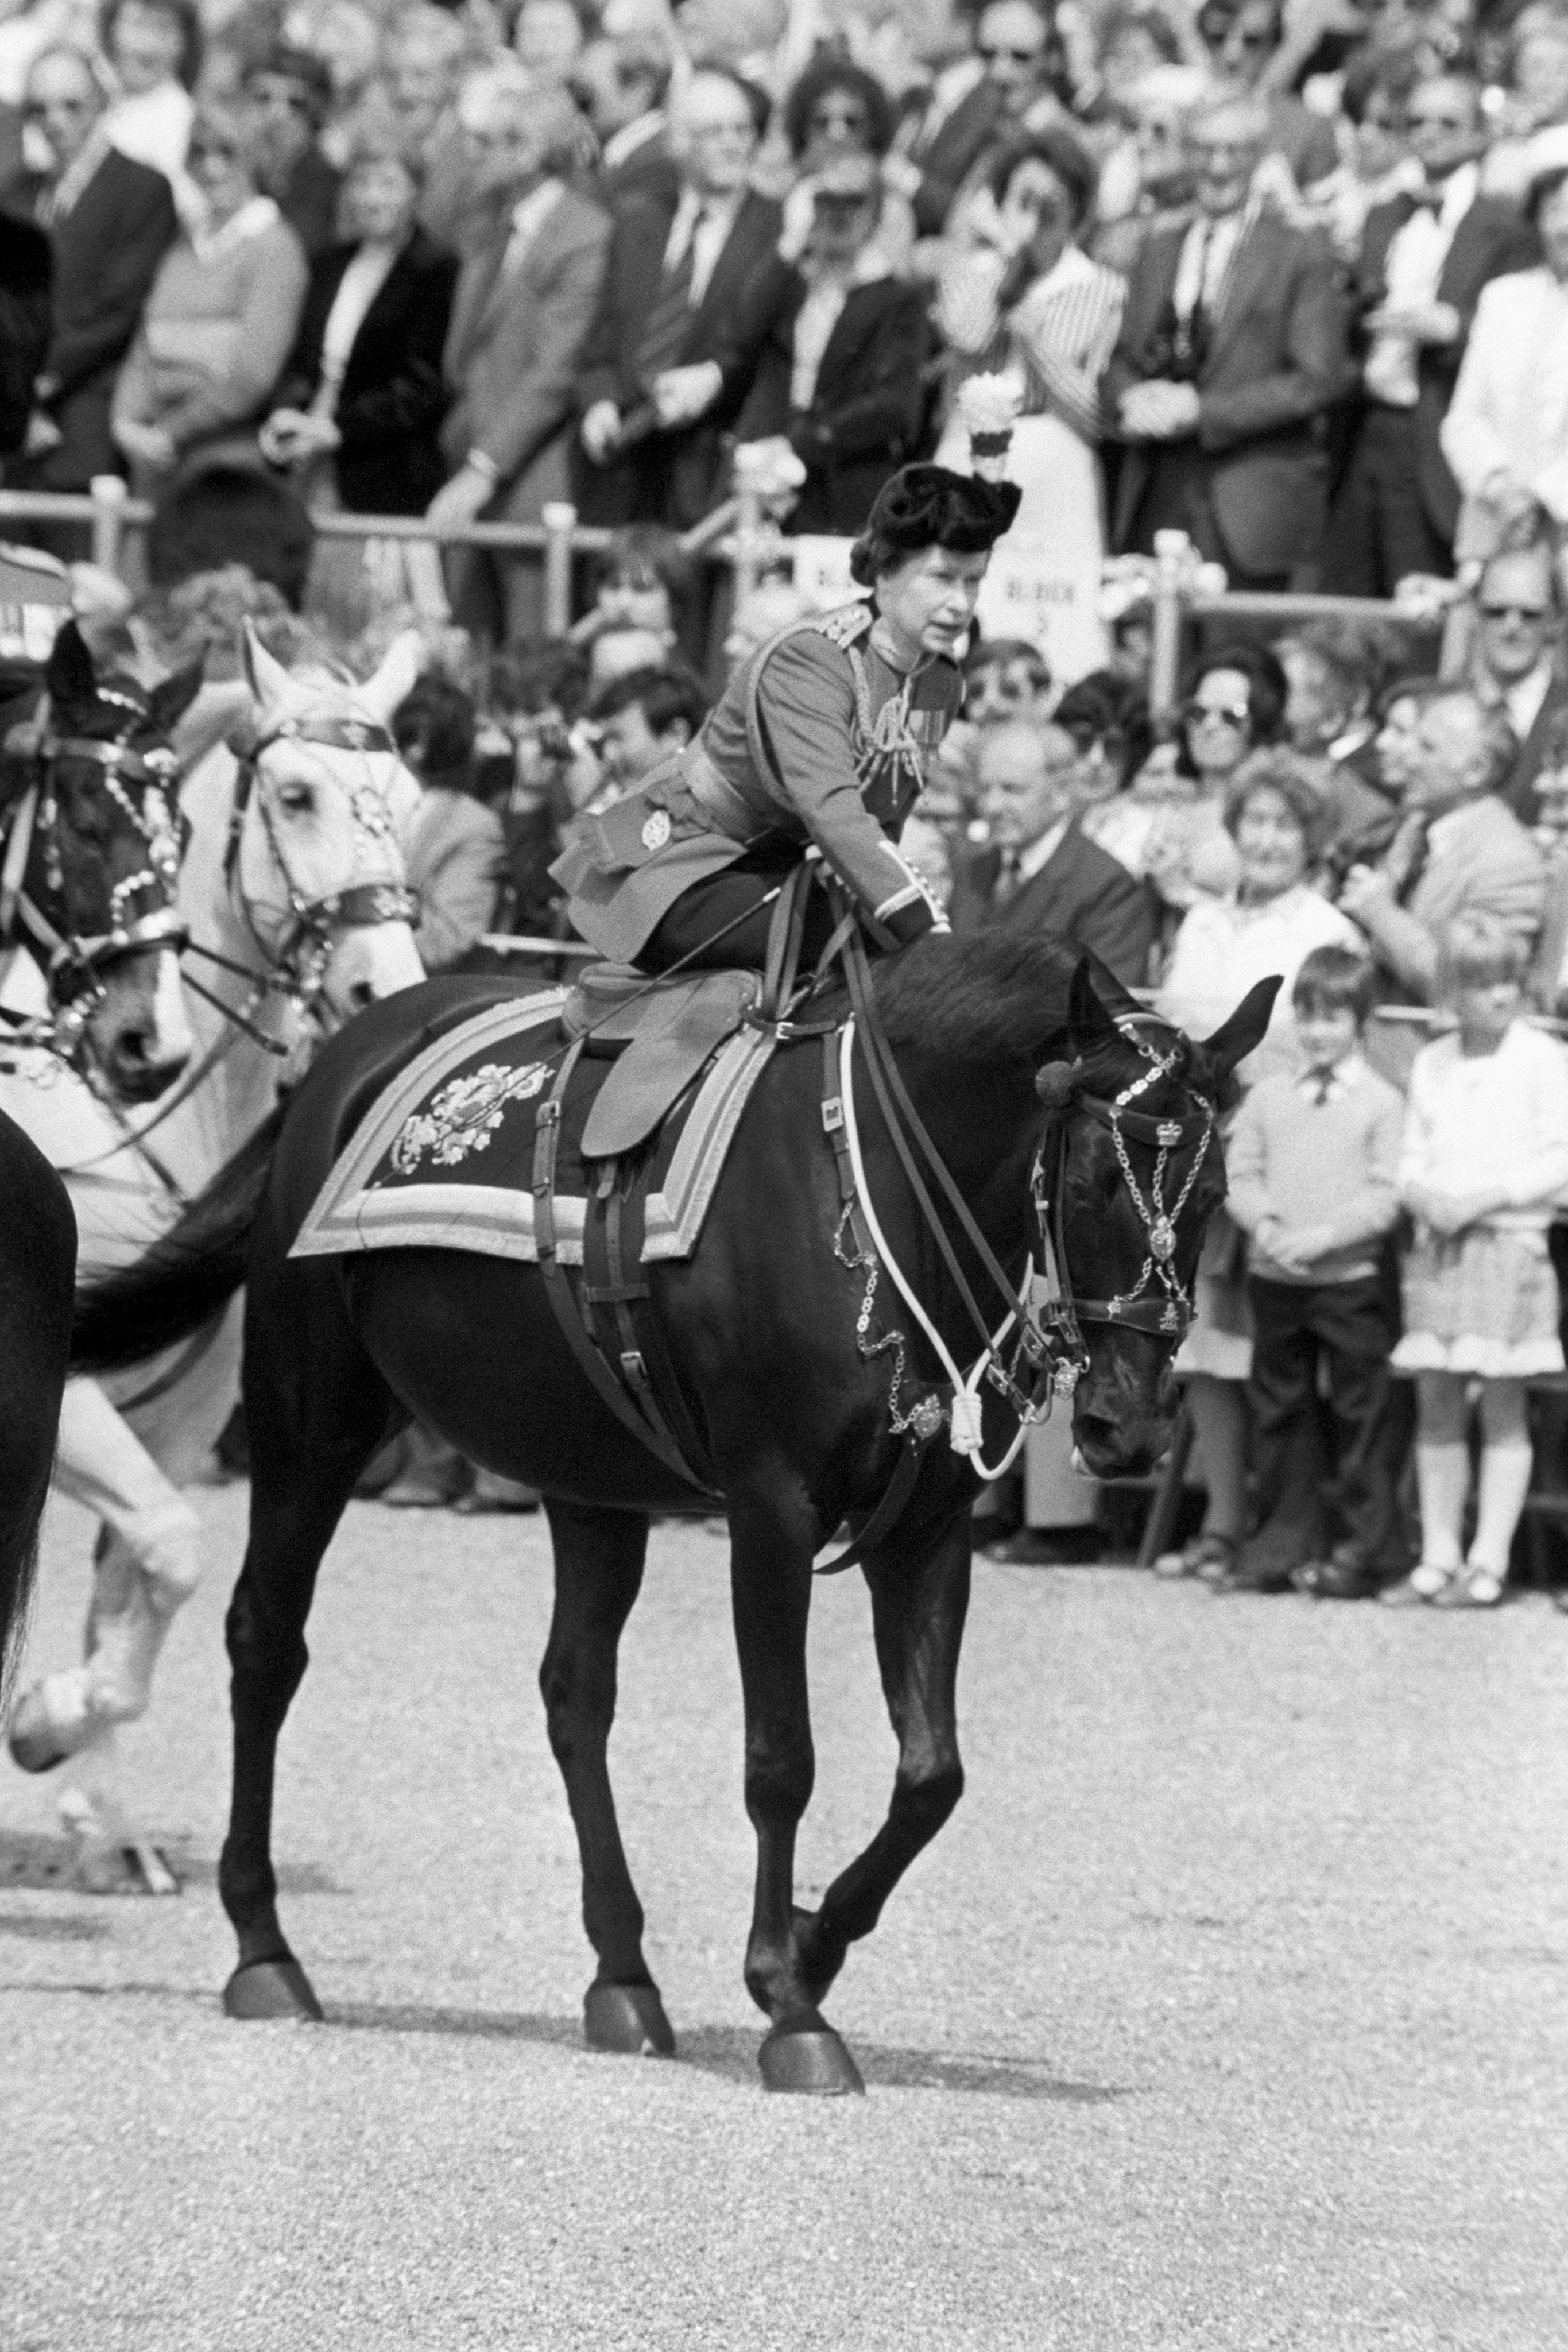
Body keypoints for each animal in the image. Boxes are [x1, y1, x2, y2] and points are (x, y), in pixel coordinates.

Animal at [6, 630, 430, 1891]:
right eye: (293, 796)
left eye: (404, 799)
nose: (383, 987)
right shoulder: (70, 1395)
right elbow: (167, 1548)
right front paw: (47, 1720)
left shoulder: (182, 1420)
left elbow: (138, 1580)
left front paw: (100, 1805)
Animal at [70, 926, 1279, 2088]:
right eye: (1088, 1184)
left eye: (1214, 1197)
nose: (1130, 1427)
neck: (879, 1190)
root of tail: (339, 1060)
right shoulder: (773, 1512)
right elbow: (782, 1759)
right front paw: (788, 2001)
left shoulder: (928, 1525)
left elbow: (932, 1774)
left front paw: (814, 1945)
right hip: (308, 1423)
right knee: (266, 1644)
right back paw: (264, 1945)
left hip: (585, 1476)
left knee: (574, 1697)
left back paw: (622, 1978)